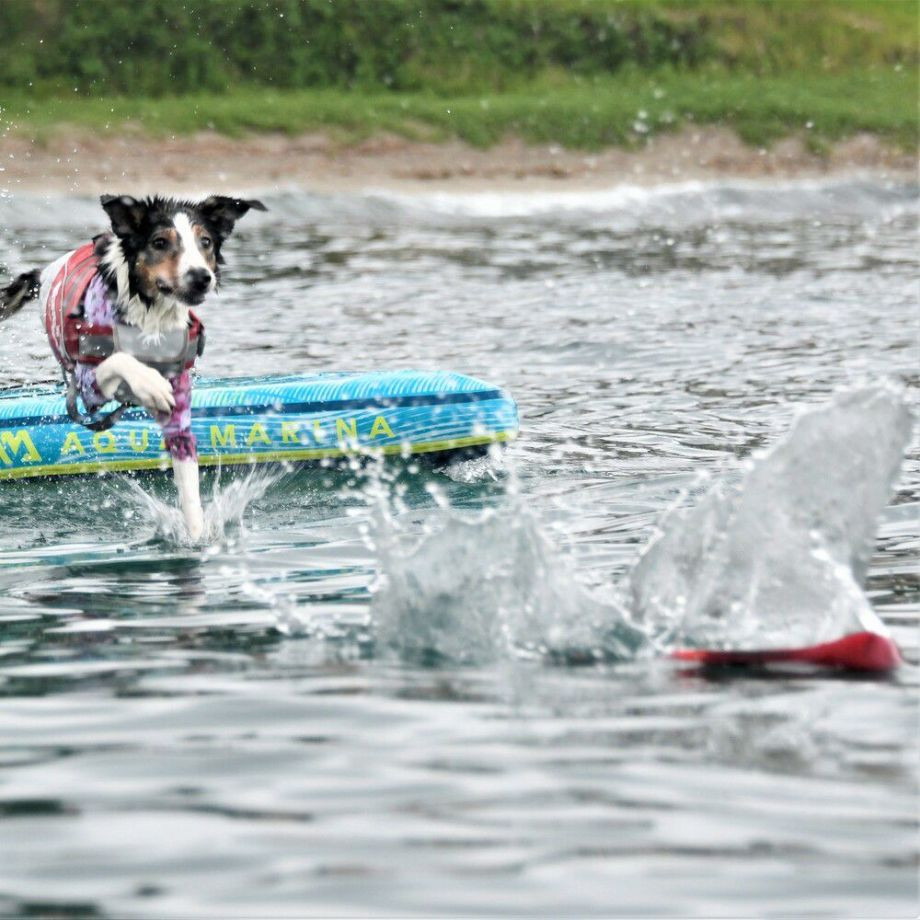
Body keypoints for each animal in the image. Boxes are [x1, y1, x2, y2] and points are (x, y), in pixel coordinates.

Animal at [0, 194, 266, 540]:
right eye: (160, 242)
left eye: (205, 241)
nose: (201, 277)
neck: (150, 318)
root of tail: (46, 272)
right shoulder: (88, 386)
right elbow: (120, 360)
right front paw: (151, 386)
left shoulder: (179, 408)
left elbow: (189, 483)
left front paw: (196, 538)